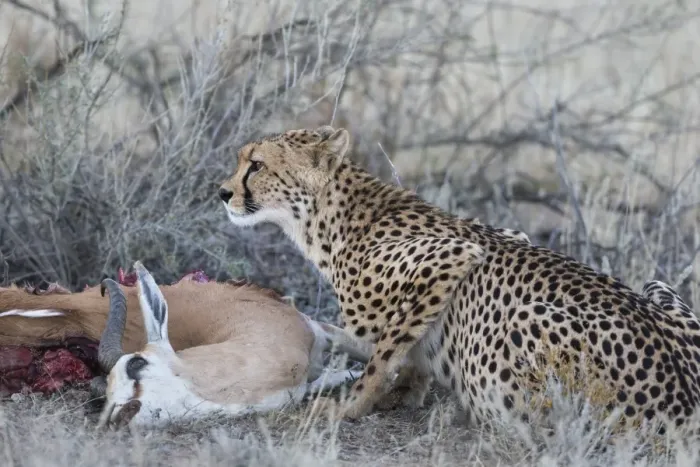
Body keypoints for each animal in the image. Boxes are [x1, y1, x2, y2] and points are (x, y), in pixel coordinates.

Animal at [218, 125, 700, 434]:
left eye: (256, 165)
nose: (222, 192)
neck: (331, 218)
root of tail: (684, 402)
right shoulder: (511, 234)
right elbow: (403, 347)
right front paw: (407, 389)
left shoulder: (453, 255)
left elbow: (383, 354)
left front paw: (348, 407)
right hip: (657, 288)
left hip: (524, 320)